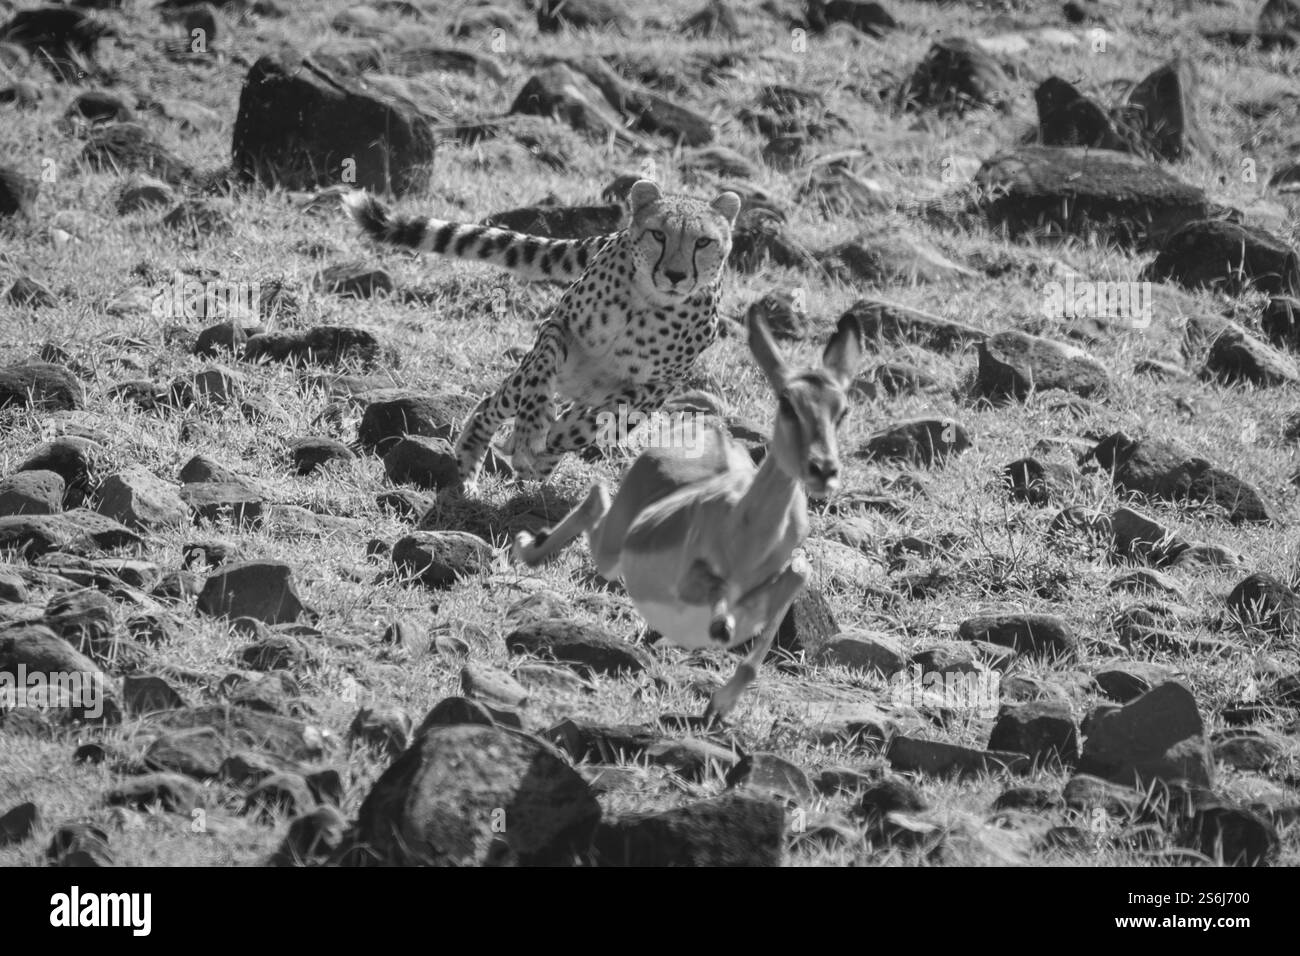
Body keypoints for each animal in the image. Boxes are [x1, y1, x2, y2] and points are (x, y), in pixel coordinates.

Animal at [340, 183, 738, 489]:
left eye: (703, 242)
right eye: (659, 234)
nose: (675, 275)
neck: (647, 305)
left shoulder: (654, 389)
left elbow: (592, 424)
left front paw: (551, 443)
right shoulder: (556, 327)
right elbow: (542, 372)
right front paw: (533, 426)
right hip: (547, 379)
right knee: (493, 402)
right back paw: (470, 463)